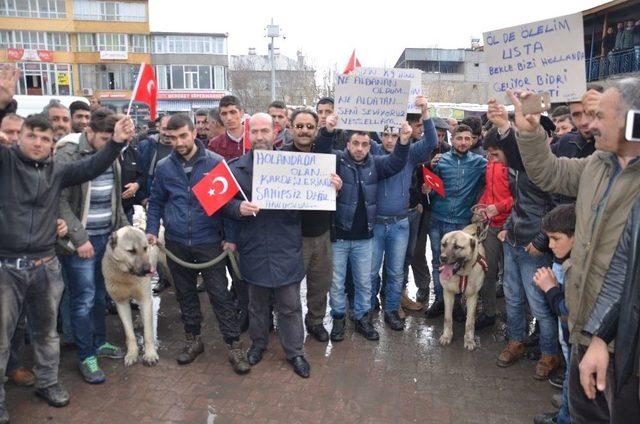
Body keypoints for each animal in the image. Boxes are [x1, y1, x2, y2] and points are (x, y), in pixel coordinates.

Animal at [102, 227, 159, 366]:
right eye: (131, 251)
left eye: (145, 248)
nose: (148, 270)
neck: (127, 276)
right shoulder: (121, 303)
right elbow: (129, 333)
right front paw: (132, 353)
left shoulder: (145, 299)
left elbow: (148, 333)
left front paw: (150, 355)